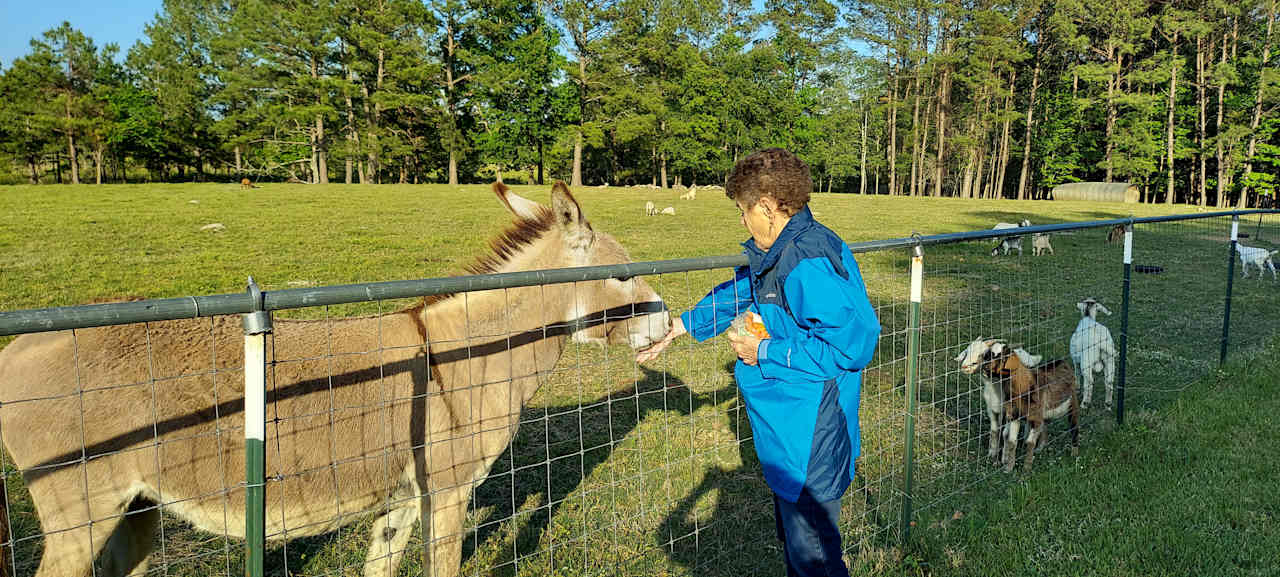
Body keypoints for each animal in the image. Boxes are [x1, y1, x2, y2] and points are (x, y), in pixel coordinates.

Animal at [977, 345, 1080, 473]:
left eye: (1003, 358)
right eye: (988, 354)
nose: (984, 367)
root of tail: (1061, 361)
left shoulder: (1035, 417)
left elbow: (1030, 442)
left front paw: (1026, 469)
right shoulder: (1014, 416)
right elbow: (1012, 441)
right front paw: (1008, 468)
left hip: (1073, 404)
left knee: (1074, 426)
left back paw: (1074, 454)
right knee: (1045, 426)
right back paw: (1040, 448)